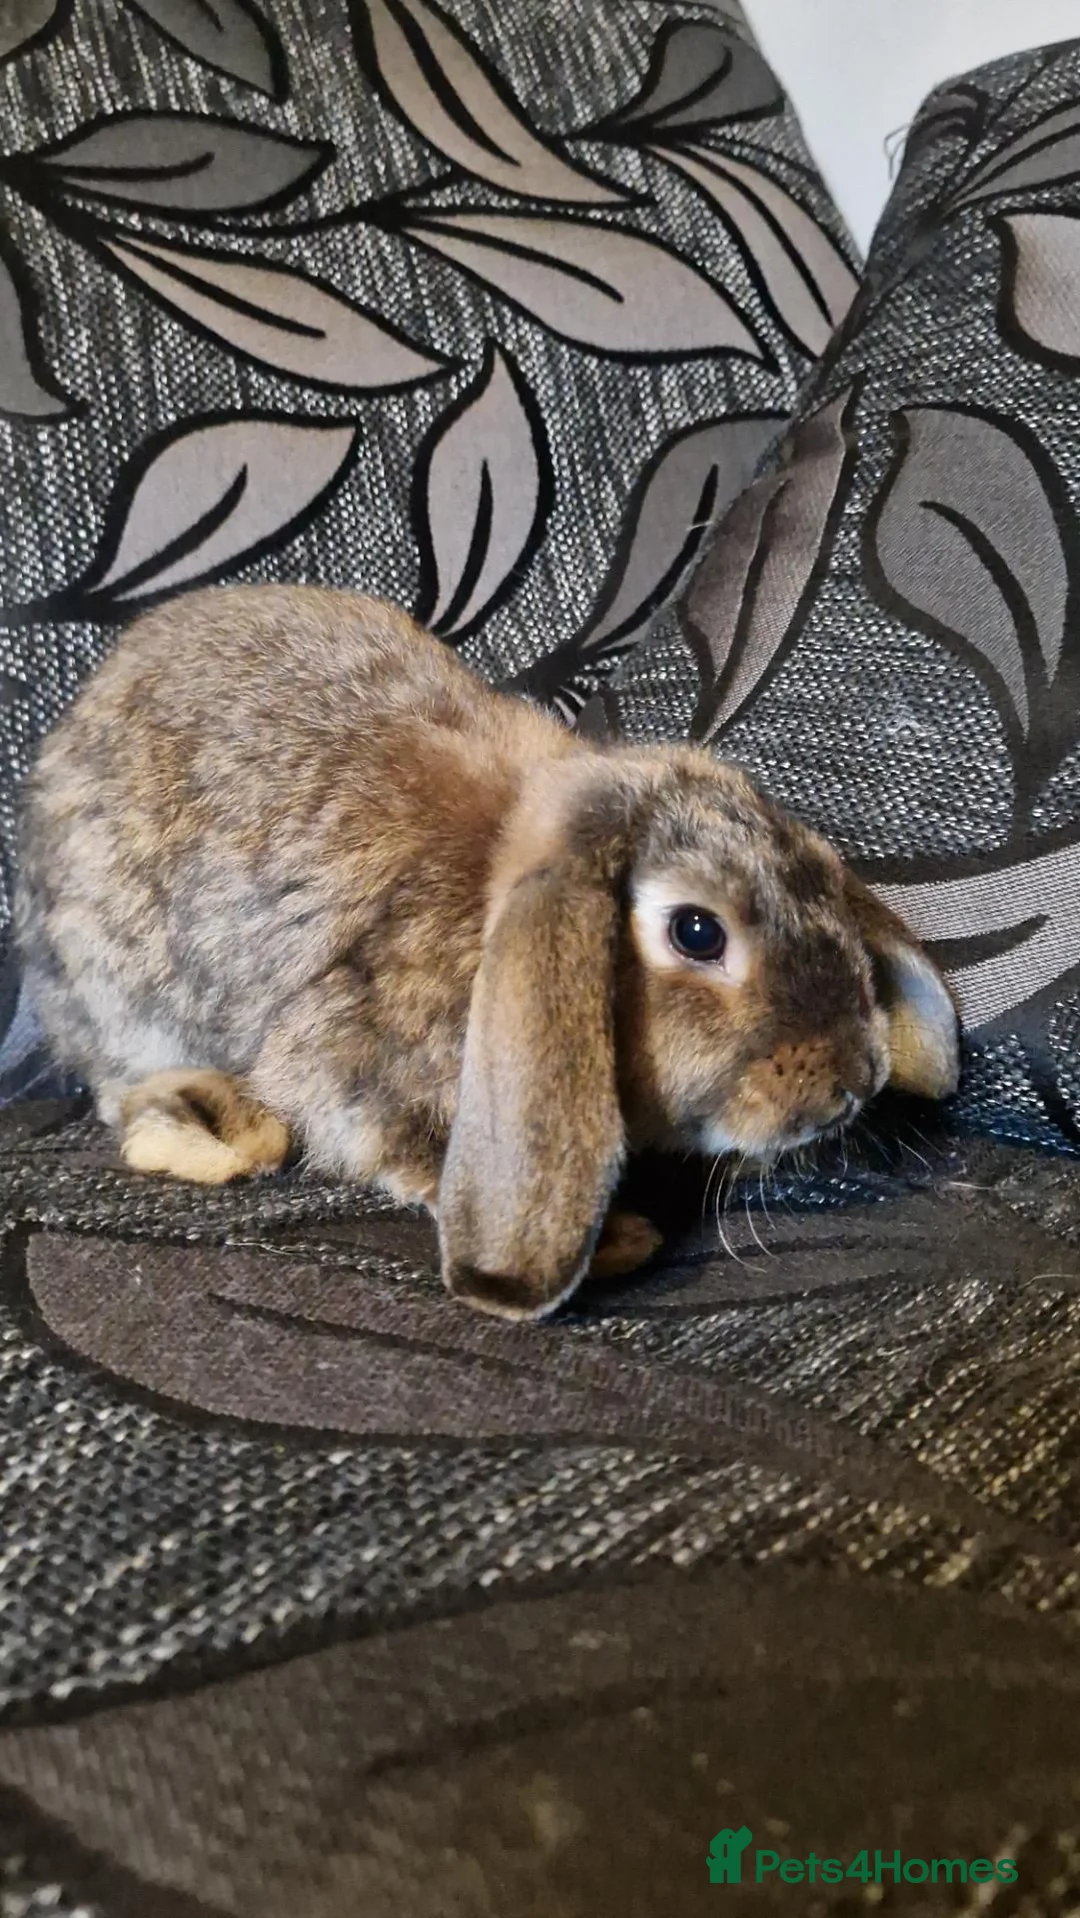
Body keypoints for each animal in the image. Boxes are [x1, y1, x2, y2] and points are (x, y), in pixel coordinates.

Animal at [15, 585, 959, 1320]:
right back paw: (220, 1133)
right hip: (120, 995)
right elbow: (398, 1143)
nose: (856, 1079)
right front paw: (620, 1240)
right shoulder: (353, 1061)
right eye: (697, 932)